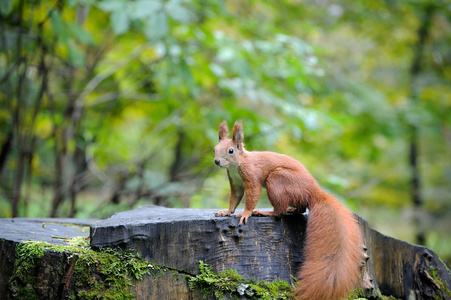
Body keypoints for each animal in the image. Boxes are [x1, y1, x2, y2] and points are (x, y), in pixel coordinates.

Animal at [213, 120, 364, 300]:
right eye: (215, 148)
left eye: (230, 150)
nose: (216, 161)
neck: (237, 164)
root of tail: (313, 191)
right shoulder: (235, 182)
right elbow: (234, 199)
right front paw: (225, 212)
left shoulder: (252, 177)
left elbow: (251, 197)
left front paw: (245, 214)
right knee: (300, 208)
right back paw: (292, 209)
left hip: (277, 179)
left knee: (280, 211)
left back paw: (267, 212)